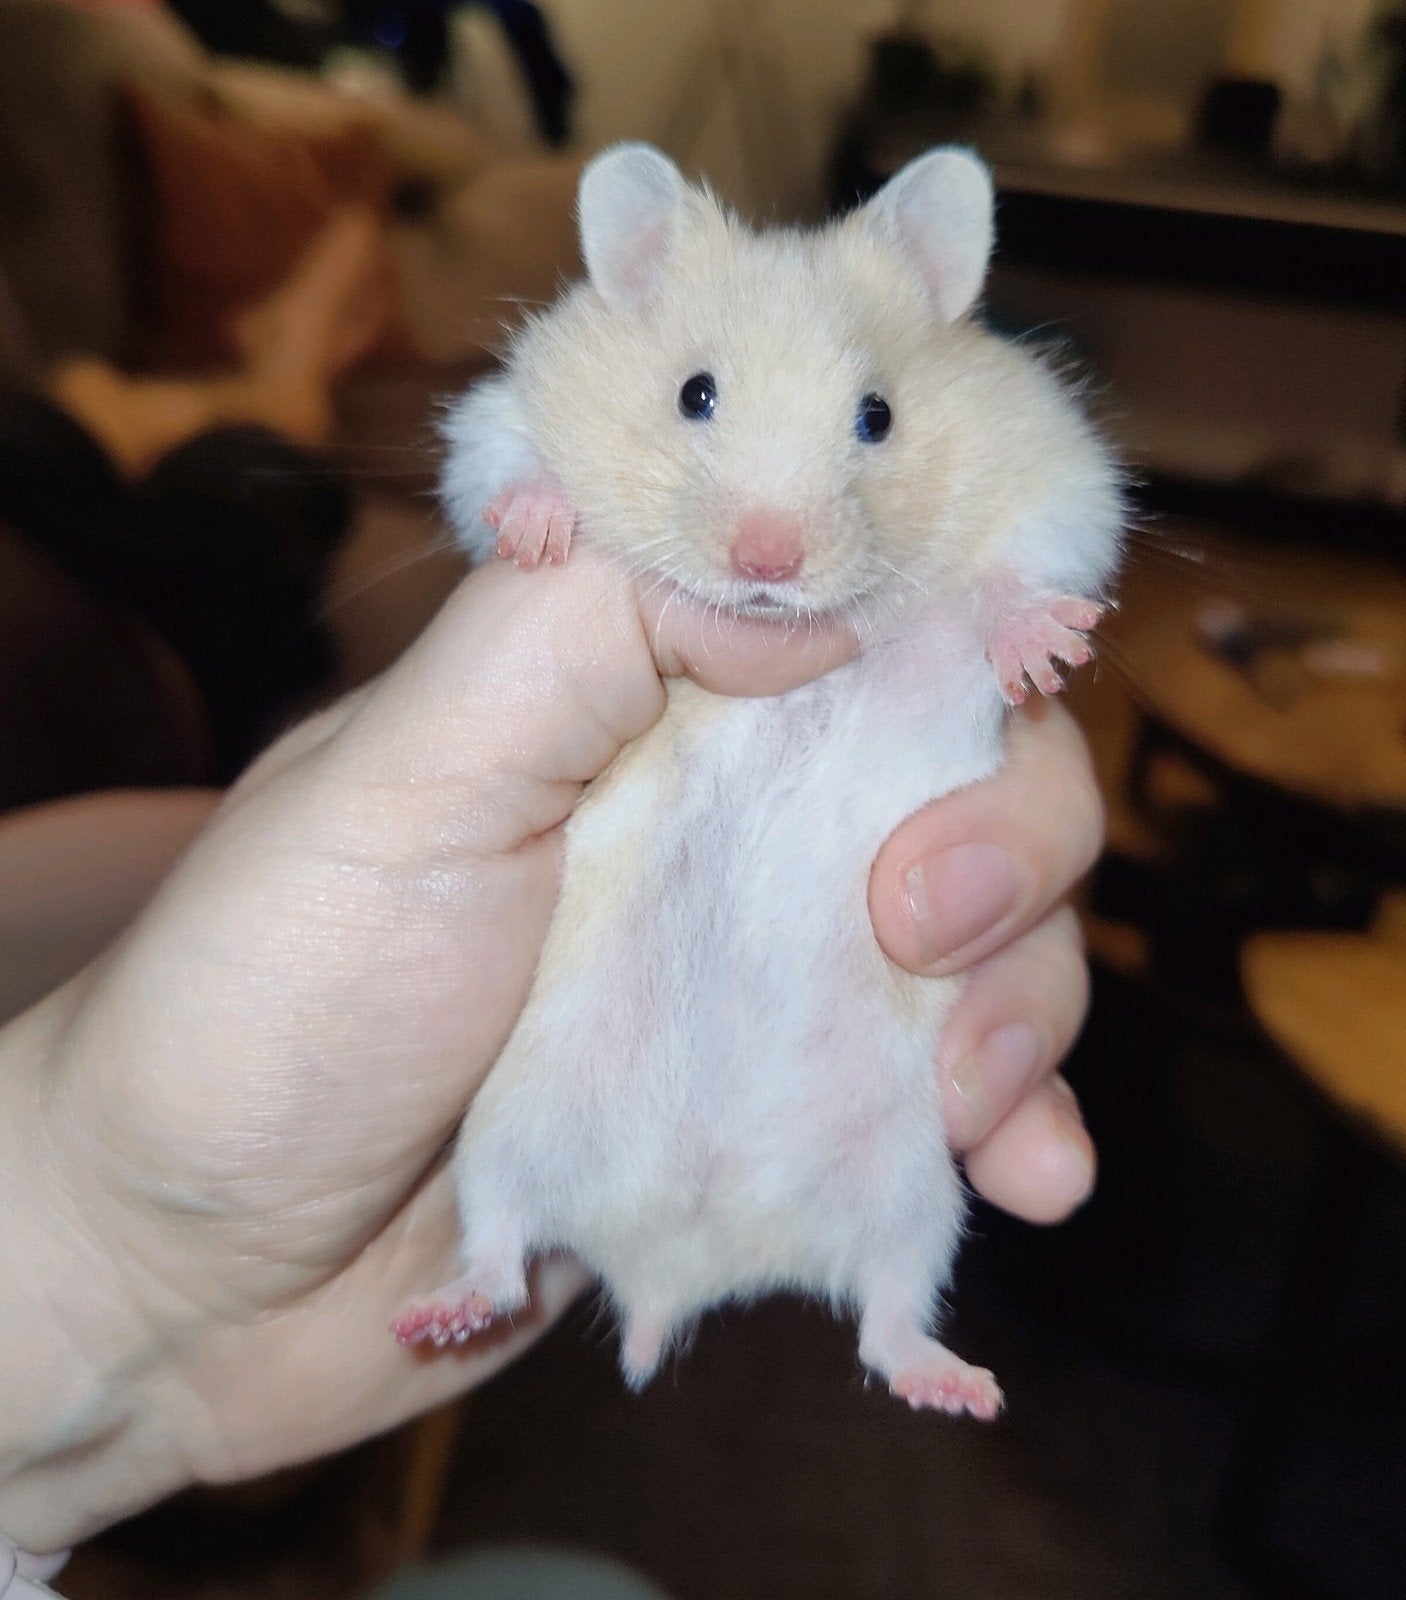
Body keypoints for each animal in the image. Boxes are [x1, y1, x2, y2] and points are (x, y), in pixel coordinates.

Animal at [395, 143, 1123, 1418]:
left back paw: (963, 1389)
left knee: (887, 1315)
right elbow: (506, 465)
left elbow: (1020, 572)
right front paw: (539, 531)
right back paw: (436, 1317)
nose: (766, 562)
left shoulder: (1060, 483)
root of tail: (679, 1259)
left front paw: (1041, 654)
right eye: (693, 393)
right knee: (499, 1242)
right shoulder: (501, 410)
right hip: (504, 1130)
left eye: (878, 416)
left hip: (913, 1194)